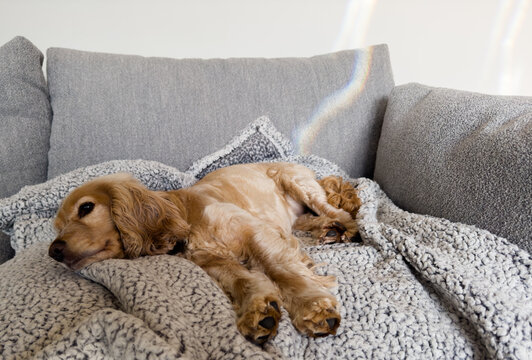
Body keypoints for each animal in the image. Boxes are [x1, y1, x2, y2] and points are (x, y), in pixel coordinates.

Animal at [50, 162, 360, 344]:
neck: (185, 217)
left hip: (297, 183)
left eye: (86, 208)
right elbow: (244, 280)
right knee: (309, 220)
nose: (54, 251)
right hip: (296, 217)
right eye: (58, 226)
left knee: (338, 210)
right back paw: (329, 231)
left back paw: (345, 227)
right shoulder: (214, 262)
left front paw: (311, 307)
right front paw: (258, 310)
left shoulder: (254, 231)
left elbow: (279, 270)